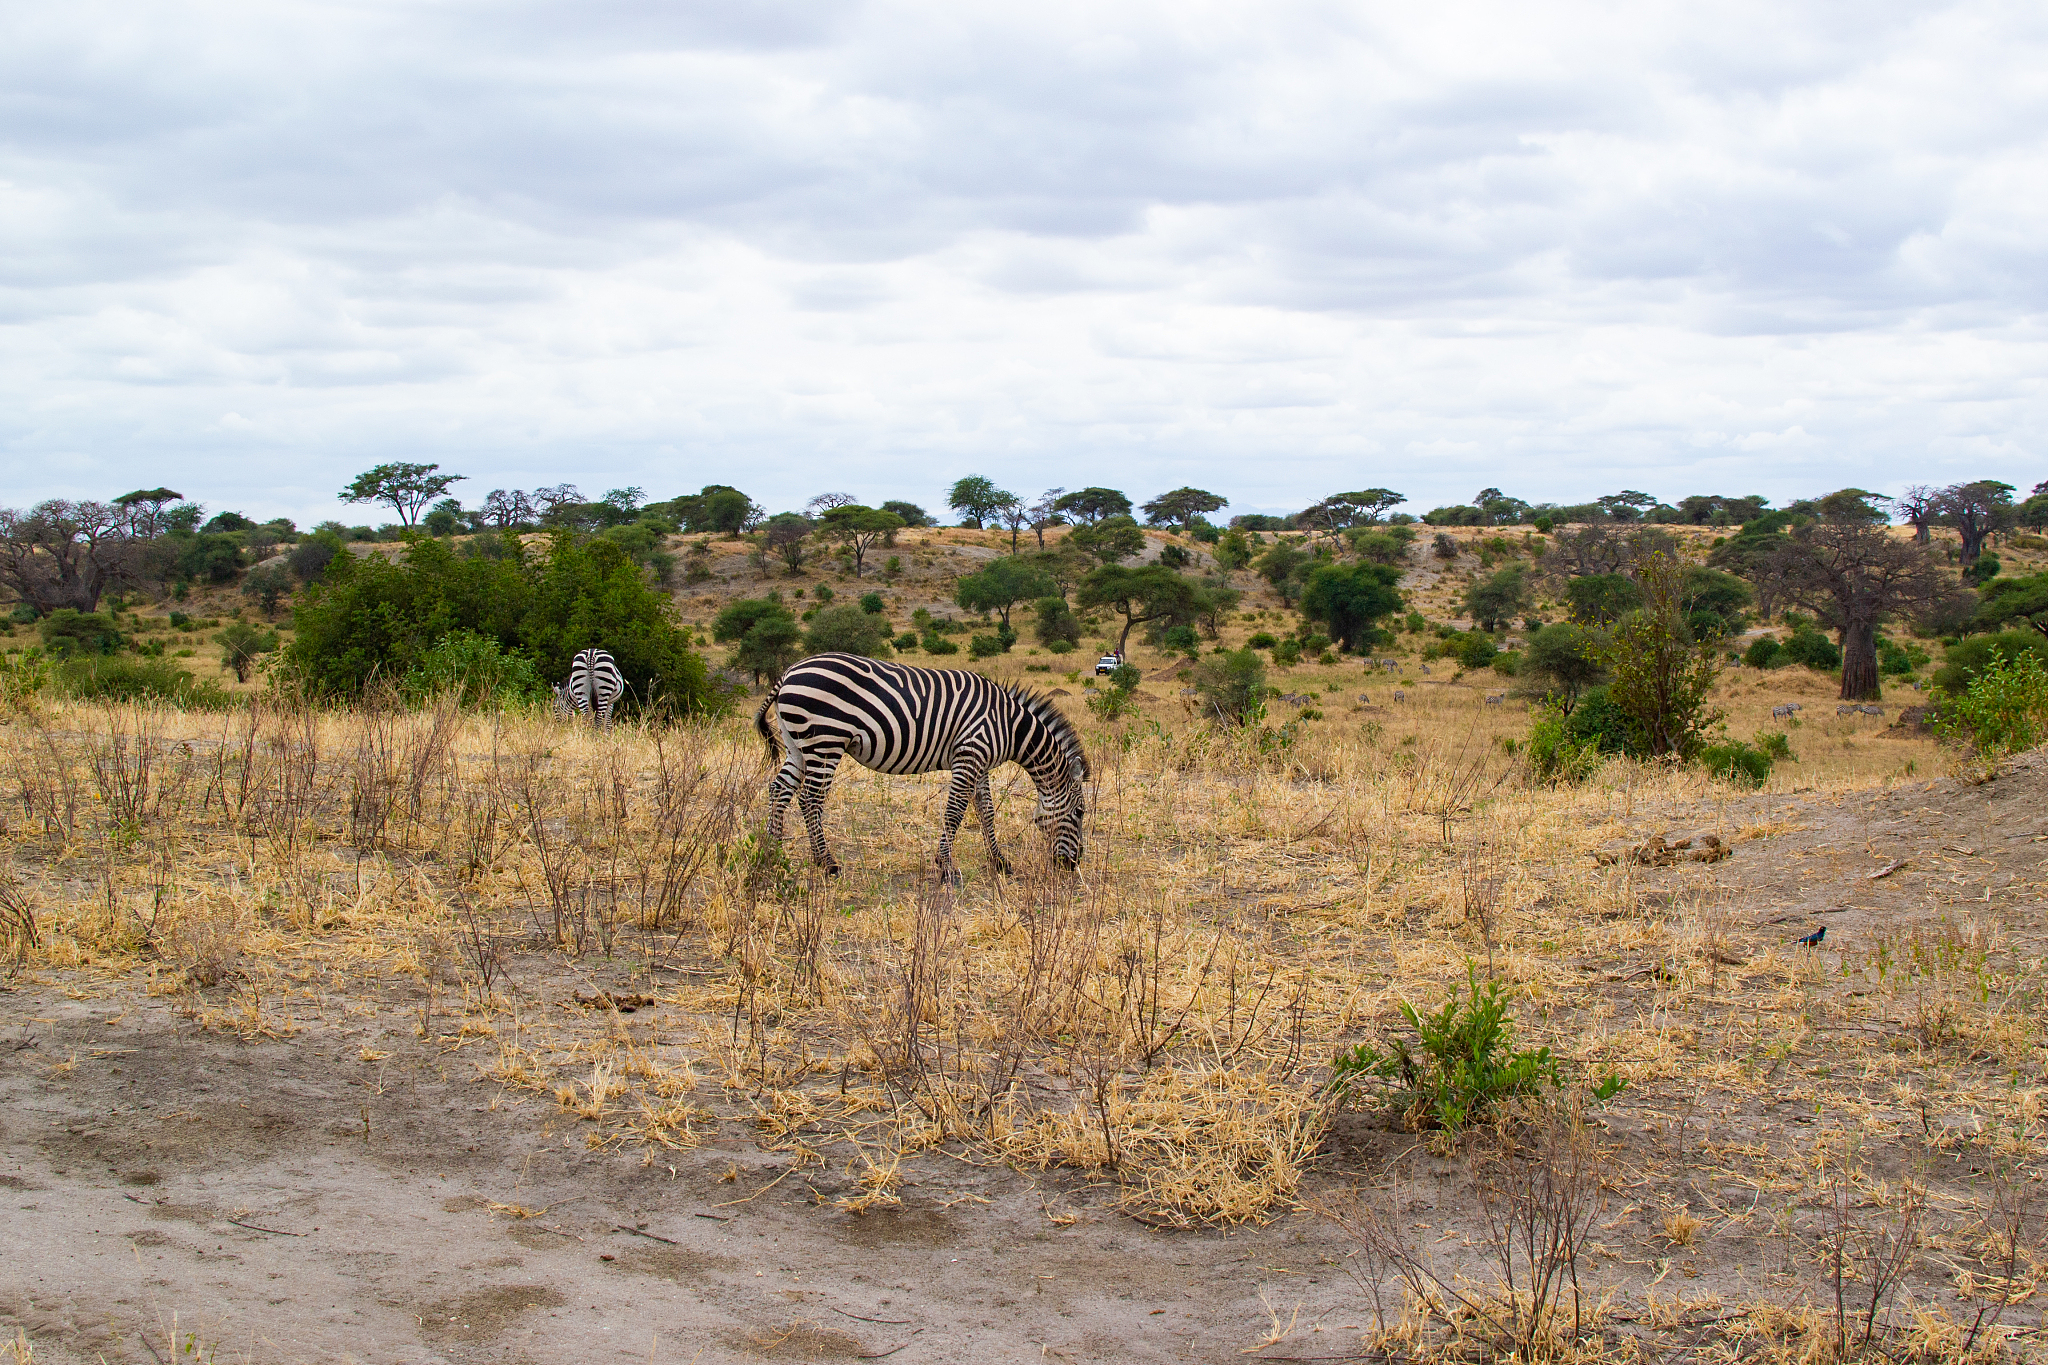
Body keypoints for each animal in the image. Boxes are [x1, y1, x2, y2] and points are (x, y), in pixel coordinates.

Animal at [755, 653, 1090, 878]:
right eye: (1079, 813)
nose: (1073, 864)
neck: (1009, 725)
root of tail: (789, 672)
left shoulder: (980, 763)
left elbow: (986, 811)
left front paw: (998, 862)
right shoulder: (969, 754)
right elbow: (955, 811)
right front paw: (946, 866)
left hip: (797, 744)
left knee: (780, 789)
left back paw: (772, 851)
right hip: (825, 742)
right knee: (810, 800)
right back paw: (827, 862)